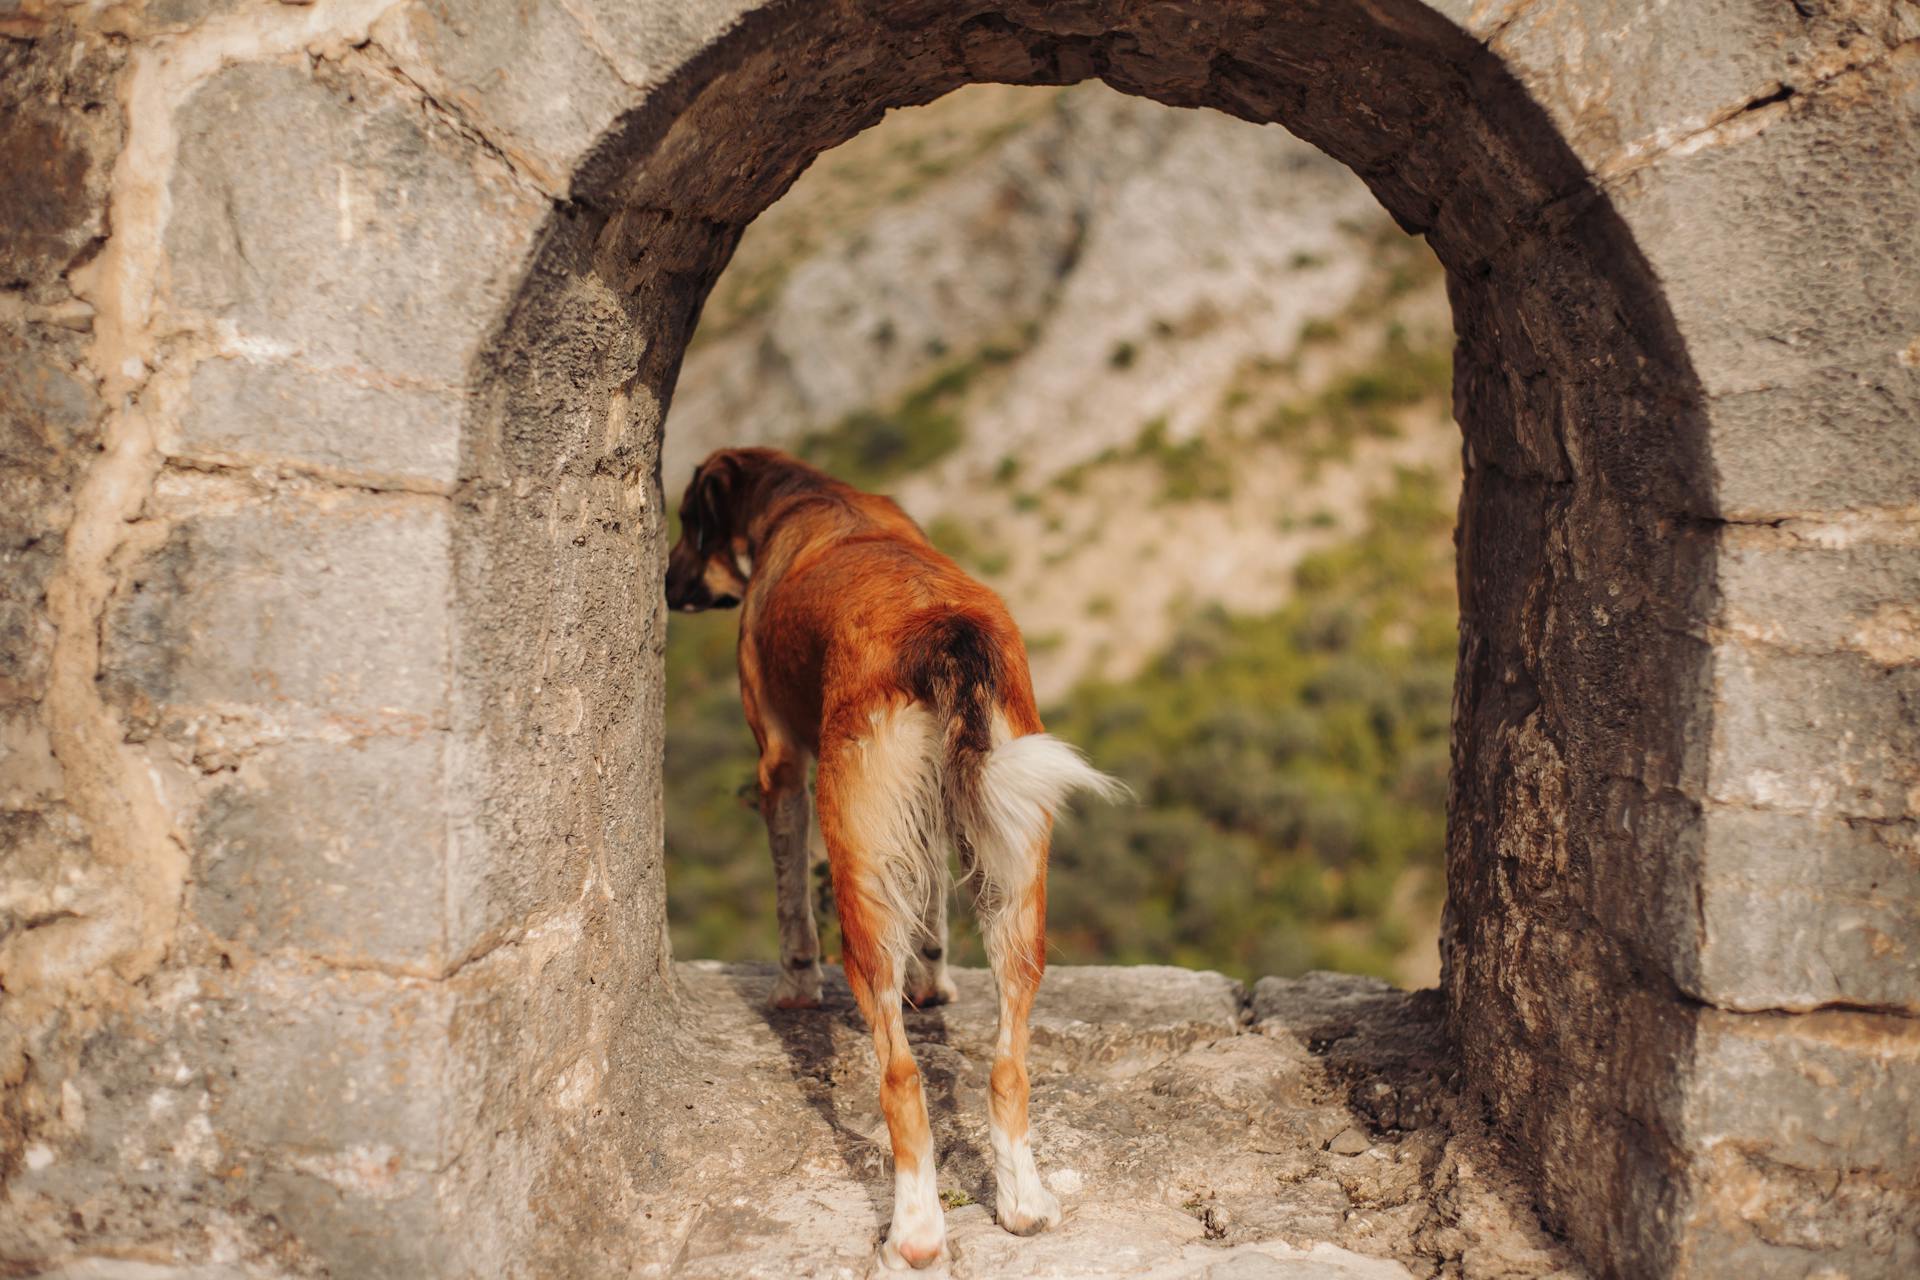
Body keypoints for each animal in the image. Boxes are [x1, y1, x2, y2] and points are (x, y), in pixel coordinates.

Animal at [664, 450, 1121, 1274]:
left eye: (686, 521)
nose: (665, 582)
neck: (810, 497)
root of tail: (946, 630)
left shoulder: (779, 762)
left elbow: (789, 900)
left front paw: (794, 987)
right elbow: (932, 909)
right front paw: (933, 984)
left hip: (861, 871)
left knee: (901, 1076)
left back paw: (915, 1230)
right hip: (1015, 873)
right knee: (1008, 1066)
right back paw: (1023, 1204)